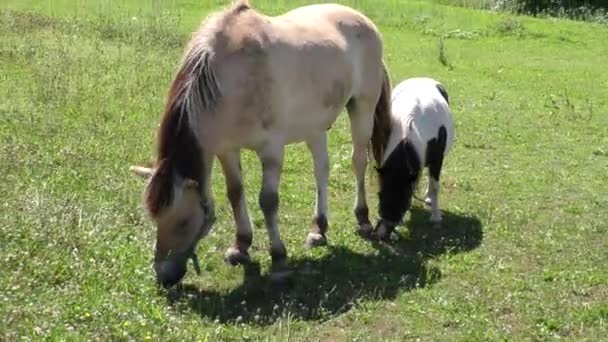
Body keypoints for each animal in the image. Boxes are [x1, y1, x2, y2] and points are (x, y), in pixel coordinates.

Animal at [130, 0, 392, 288]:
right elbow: (235, 193)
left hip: (362, 109)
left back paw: (363, 218)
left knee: (358, 162)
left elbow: (268, 201)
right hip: (315, 125)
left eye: (183, 222)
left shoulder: (272, 150)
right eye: (155, 218)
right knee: (321, 169)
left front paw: (278, 258)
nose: (163, 277)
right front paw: (240, 245)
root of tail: (364, 21)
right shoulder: (226, 149)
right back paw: (318, 228)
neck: (234, 76)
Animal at [372, 77, 454, 242]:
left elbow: (435, 187)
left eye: (403, 197)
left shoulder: (437, 161)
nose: (382, 234)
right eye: (379, 194)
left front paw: (436, 218)